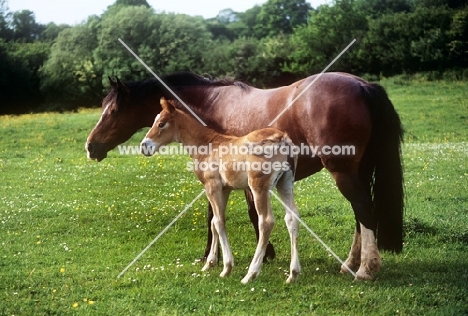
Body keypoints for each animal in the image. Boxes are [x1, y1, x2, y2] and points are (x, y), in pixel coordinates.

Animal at [141, 97, 300, 282]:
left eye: (161, 124)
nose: (144, 146)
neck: (207, 145)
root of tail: (282, 138)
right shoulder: (225, 189)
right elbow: (213, 222)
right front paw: (209, 263)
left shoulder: (212, 186)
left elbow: (218, 221)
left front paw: (226, 267)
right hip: (285, 183)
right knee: (292, 217)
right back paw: (293, 274)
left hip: (258, 187)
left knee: (266, 221)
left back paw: (251, 274)